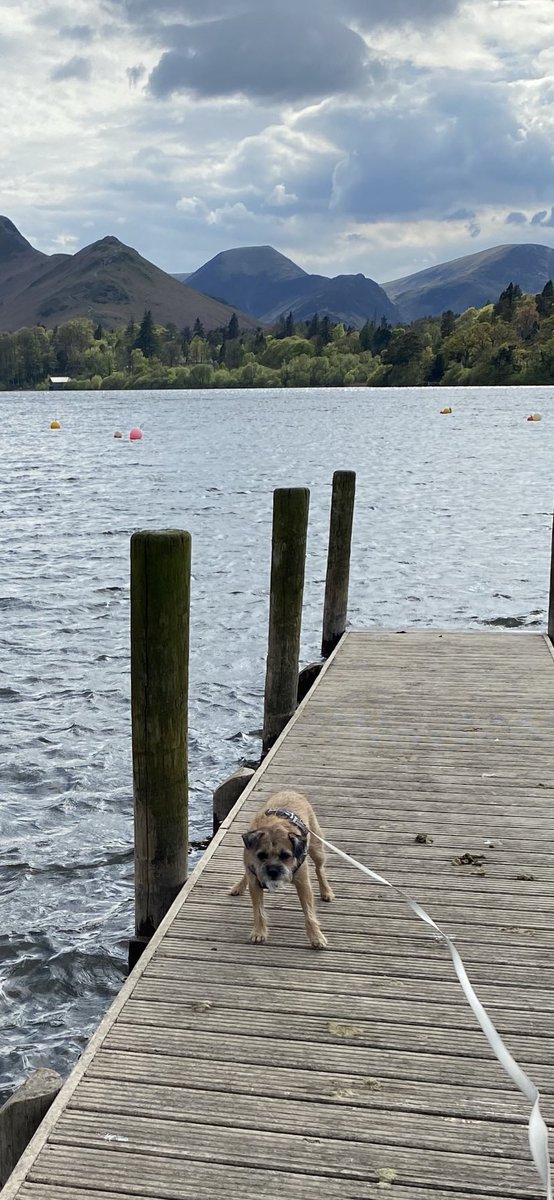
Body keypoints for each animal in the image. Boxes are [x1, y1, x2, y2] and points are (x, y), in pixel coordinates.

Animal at [227, 792, 333, 950]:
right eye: (261, 855)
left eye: (285, 856)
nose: (272, 871)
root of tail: (291, 791)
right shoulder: (255, 881)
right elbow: (258, 910)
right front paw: (259, 932)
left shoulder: (303, 883)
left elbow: (309, 912)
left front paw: (316, 936)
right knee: (246, 872)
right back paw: (239, 886)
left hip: (316, 848)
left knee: (320, 869)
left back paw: (326, 891)